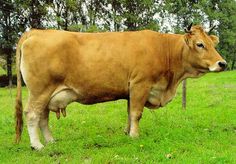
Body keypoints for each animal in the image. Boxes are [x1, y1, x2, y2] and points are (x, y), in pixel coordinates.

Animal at [14, 24, 227, 150]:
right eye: (200, 44)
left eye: (212, 44)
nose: (222, 63)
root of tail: (36, 31)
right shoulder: (141, 84)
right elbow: (136, 113)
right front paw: (134, 136)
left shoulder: (131, 90)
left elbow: (129, 113)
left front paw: (127, 132)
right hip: (40, 91)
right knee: (32, 115)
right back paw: (37, 145)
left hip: (46, 93)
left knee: (43, 117)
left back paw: (50, 141)